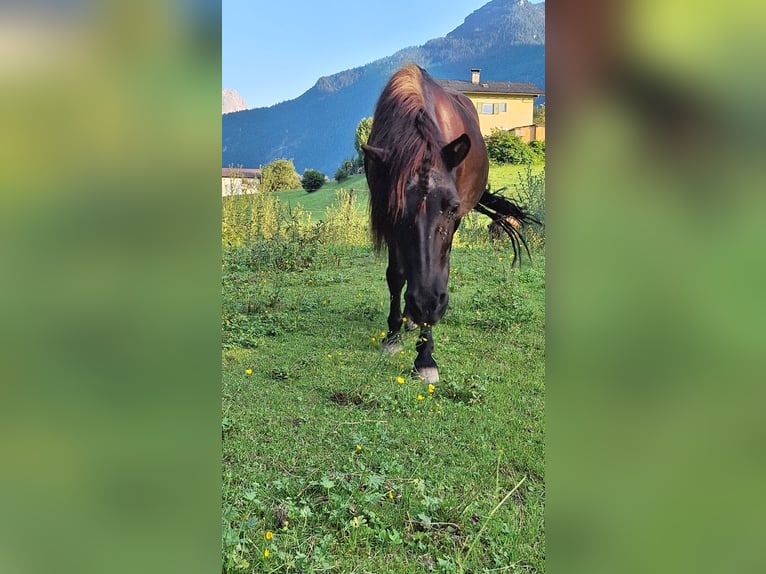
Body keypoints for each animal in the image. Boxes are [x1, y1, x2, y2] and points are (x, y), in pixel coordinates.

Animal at [364, 63, 488, 382]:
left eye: (452, 207)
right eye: (395, 211)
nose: (426, 305)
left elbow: (440, 271)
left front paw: (425, 357)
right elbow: (396, 275)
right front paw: (393, 334)